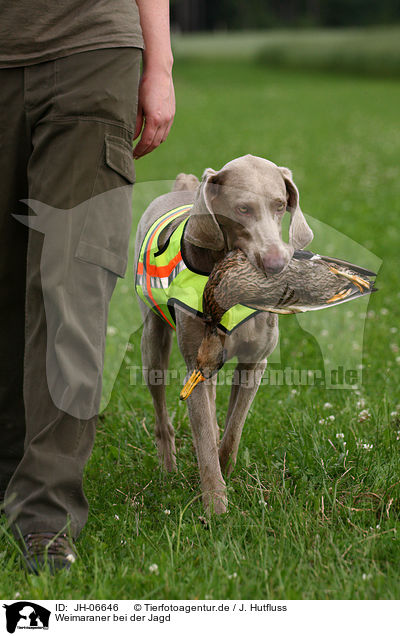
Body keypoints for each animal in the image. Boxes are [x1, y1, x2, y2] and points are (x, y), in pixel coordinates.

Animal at [134, 155, 312, 516]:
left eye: (280, 205)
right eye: (242, 209)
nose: (276, 264)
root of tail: (182, 187)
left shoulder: (254, 364)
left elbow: (233, 431)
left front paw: (224, 465)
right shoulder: (197, 367)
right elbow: (203, 437)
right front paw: (215, 506)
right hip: (153, 343)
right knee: (161, 411)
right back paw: (168, 467)